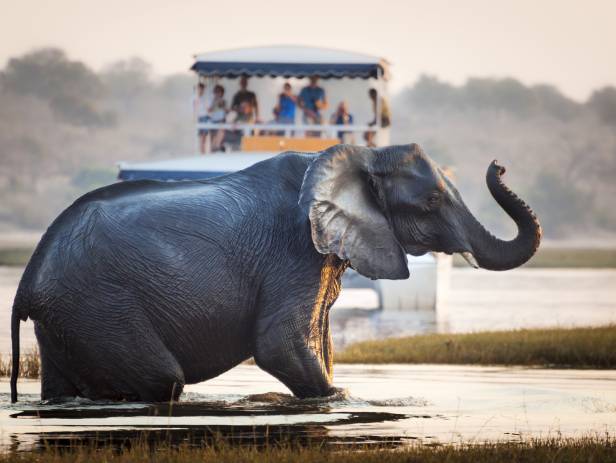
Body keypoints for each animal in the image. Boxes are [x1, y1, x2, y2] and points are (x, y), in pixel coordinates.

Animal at [8, 144, 540, 402]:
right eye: (430, 201)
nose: (499, 165)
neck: (357, 156)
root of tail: (27, 283)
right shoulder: (293, 251)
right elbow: (279, 345)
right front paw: (341, 399)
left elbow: (318, 344)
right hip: (100, 304)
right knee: (162, 379)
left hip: (70, 317)